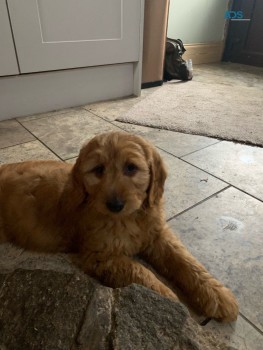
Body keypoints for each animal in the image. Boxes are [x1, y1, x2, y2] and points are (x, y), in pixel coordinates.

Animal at [0, 132, 239, 322]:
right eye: (98, 170)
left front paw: (217, 295)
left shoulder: (157, 235)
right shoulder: (100, 256)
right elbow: (139, 271)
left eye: (131, 168)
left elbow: (185, 261)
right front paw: (168, 298)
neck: (129, 218)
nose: (115, 205)